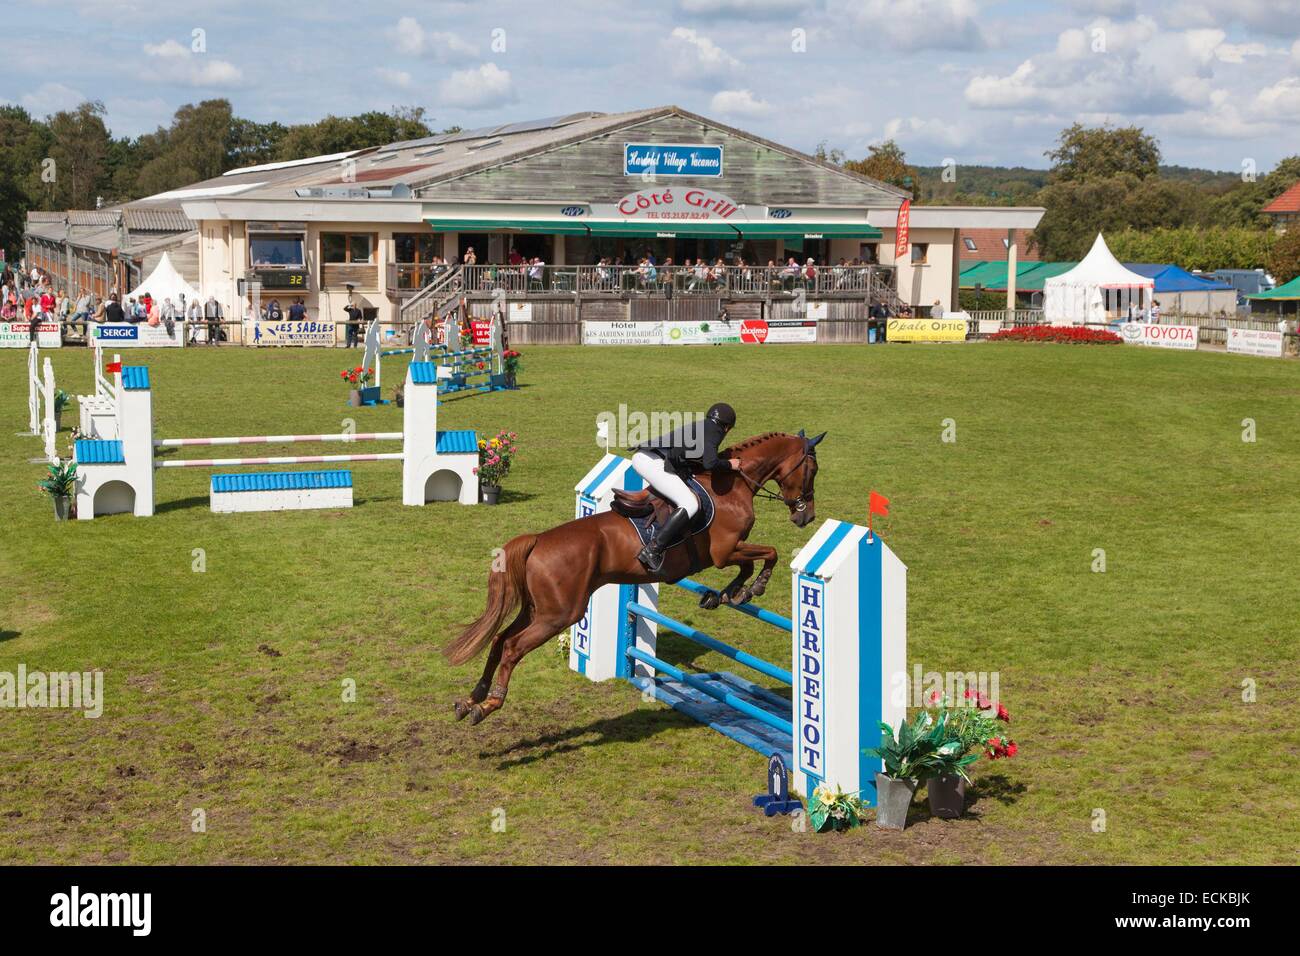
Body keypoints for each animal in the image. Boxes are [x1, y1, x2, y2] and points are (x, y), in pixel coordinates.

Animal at [436, 429, 821, 723]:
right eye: (813, 469)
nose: (806, 517)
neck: (733, 484)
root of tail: (538, 541)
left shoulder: (727, 552)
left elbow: (754, 562)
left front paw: (724, 595)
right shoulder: (724, 551)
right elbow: (766, 555)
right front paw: (748, 589)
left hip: (536, 609)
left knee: (499, 640)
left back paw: (470, 699)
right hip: (559, 614)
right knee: (512, 647)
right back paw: (488, 704)